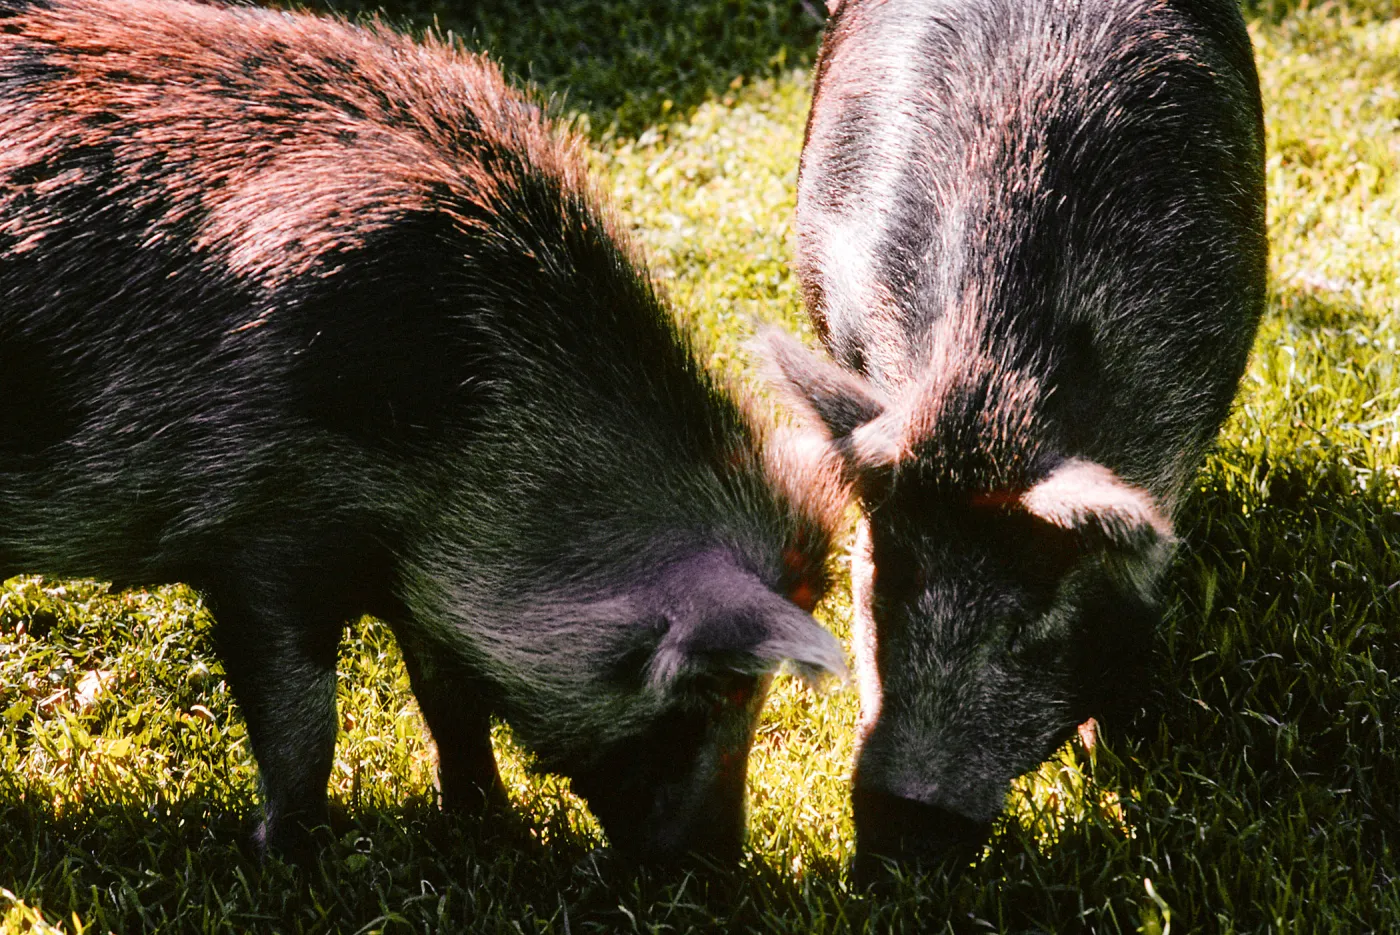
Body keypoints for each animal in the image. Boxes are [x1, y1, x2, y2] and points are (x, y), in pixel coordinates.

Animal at [0, 0, 847, 864]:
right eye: (720, 685)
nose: (717, 862)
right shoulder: (259, 536)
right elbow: (306, 719)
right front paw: (287, 853)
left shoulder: (419, 585)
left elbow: (451, 702)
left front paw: (487, 820)